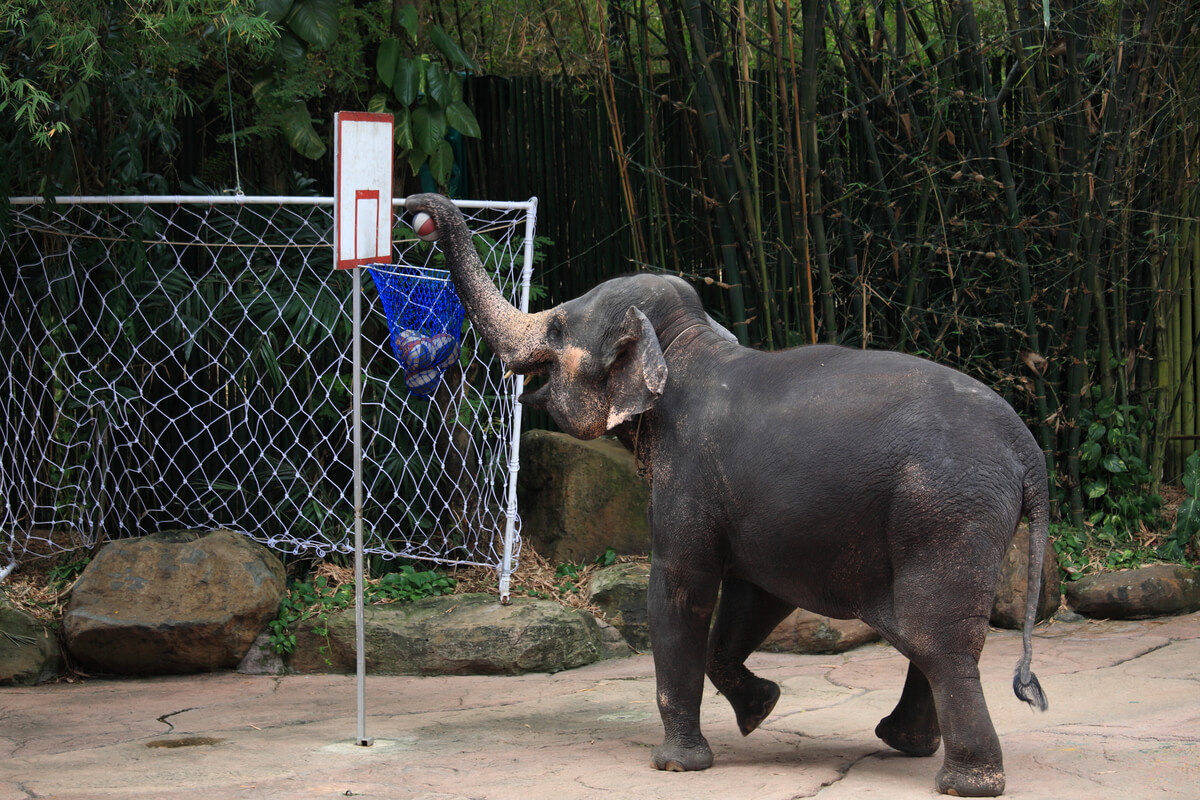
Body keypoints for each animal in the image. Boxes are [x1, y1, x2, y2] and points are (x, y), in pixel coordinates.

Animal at [405, 191, 1051, 796]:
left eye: (560, 328)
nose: (414, 209)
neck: (686, 343)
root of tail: (1029, 453)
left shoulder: (687, 478)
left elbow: (680, 591)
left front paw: (675, 764)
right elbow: (754, 599)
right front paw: (760, 709)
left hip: (945, 514)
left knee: (937, 638)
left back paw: (965, 783)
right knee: (934, 639)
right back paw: (903, 744)